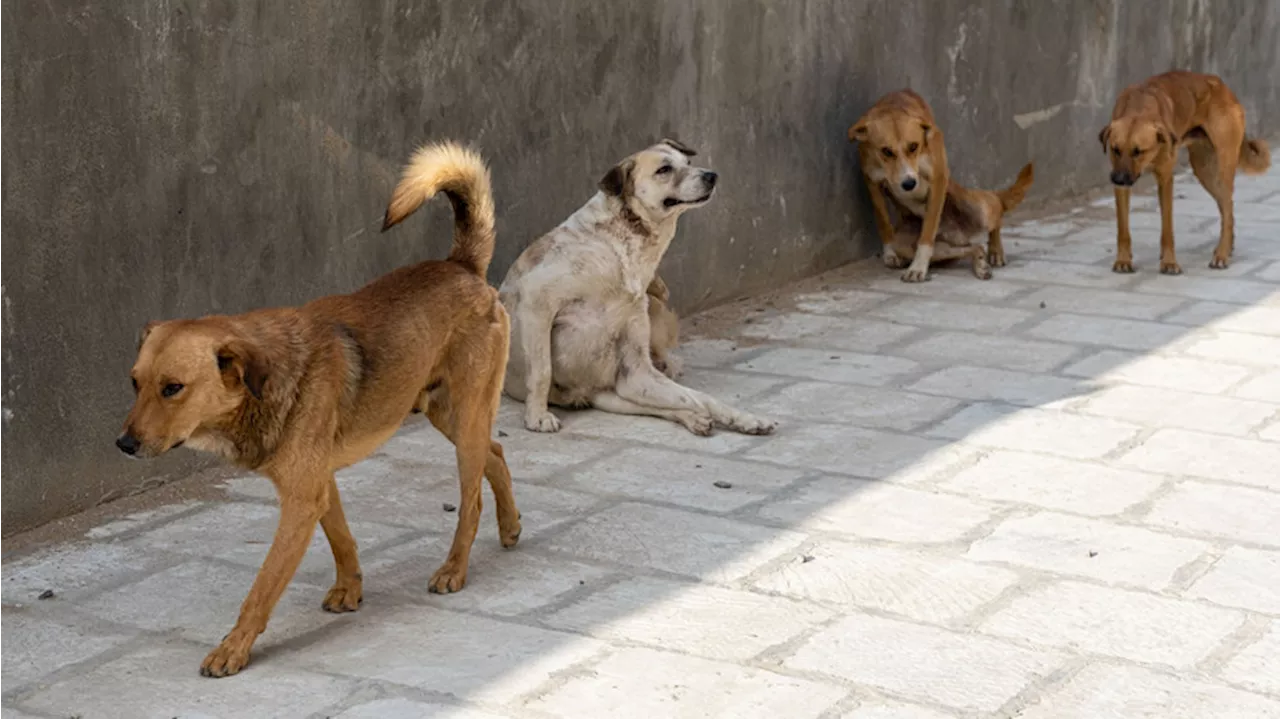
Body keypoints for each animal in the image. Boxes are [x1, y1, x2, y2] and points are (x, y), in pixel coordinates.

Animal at [499, 137, 778, 434]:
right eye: (664, 169)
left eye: (688, 162)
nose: (711, 175)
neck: (623, 245)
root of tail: (584, 393)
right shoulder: (536, 298)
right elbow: (542, 370)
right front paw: (537, 416)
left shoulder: (636, 373)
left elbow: (702, 398)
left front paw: (745, 418)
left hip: (626, 383)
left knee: (680, 401)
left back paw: (699, 417)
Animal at [849, 88, 1039, 280]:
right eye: (886, 151)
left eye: (914, 146)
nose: (909, 183)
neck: (893, 105)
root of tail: (960, 236)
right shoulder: (872, 182)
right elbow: (883, 221)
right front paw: (890, 253)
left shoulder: (938, 179)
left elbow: (928, 230)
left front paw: (918, 267)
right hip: (915, 243)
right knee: (975, 247)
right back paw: (980, 264)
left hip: (979, 210)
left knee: (996, 209)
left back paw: (995, 250)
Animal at [1100, 70, 1269, 272]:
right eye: (1115, 150)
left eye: (1138, 151)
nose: (1117, 179)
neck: (1139, 106)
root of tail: (1223, 87)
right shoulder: (1122, 185)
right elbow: (1123, 228)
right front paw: (1123, 260)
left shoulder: (1165, 179)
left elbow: (1167, 229)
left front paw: (1169, 262)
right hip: (1204, 171)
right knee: (1226, 207)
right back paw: (1227, 248)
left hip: (1223, 169)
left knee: (1227, 209)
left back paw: (1221, 254)